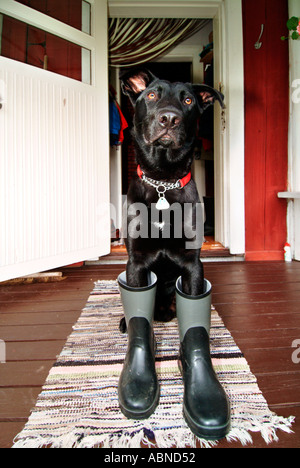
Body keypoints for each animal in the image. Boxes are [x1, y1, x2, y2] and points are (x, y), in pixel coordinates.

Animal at [119, 69, 223, 330]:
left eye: (187, 101)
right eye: (152, 95)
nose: (169, 119)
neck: (163, 181)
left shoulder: (192, 263)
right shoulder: (136, 261)